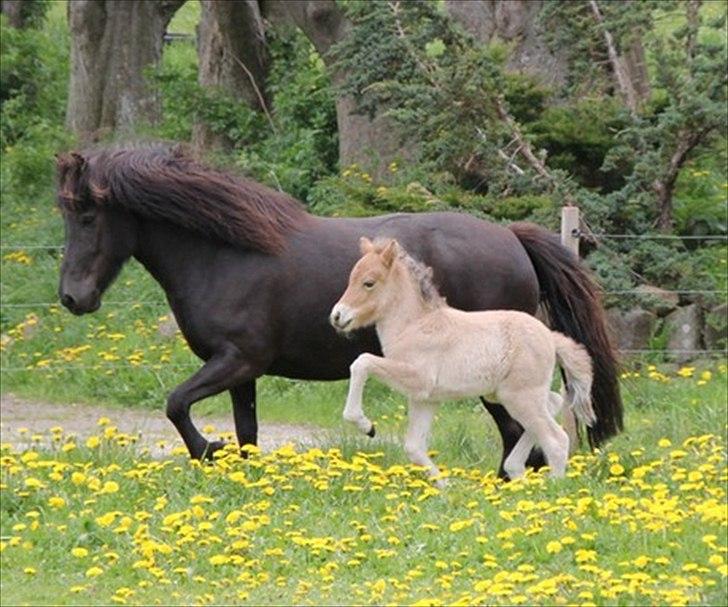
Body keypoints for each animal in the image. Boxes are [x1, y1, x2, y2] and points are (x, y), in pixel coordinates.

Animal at [332, 238, 596, 484]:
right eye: (350, 278)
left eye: (369, 283)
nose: (337, 316)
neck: (416, 325)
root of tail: (551, 338)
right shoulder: (424, 398)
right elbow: (414, 447)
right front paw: (445, 490)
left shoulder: (417, 378)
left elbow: (362, 362)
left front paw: (366, 426)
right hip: (508, 395)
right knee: (553, 403)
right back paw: (516, 474)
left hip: (521, 398)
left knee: (556, 440)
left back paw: (551, 489)